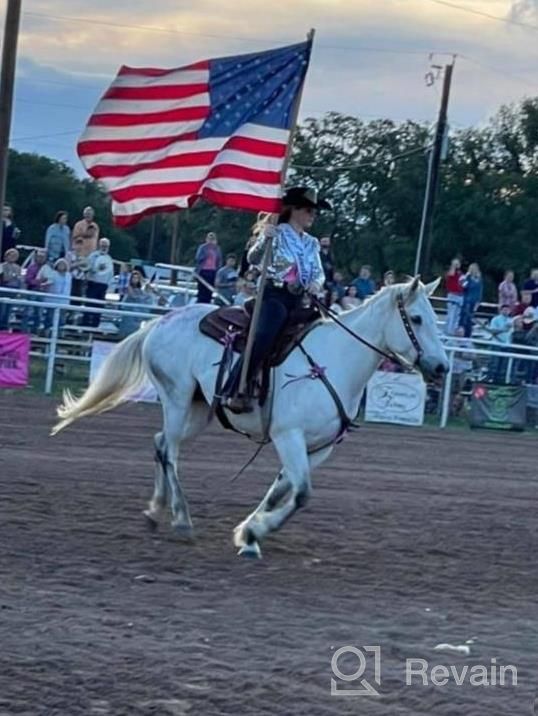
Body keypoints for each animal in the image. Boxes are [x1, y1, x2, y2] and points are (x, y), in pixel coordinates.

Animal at [52, 278, 446, 560]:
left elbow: (280, 491)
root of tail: (161, 320)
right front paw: (255, 533)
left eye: (435, 319)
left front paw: (247, 534)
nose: (442, 367)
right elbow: (301, 494)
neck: (334, 359)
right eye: (416, 318)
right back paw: (181, 519)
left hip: (199, 409)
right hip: (176, 397)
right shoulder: (289, 436)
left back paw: (155, 511)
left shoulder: (318, 449)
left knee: (160, 443)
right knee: (170, 452)